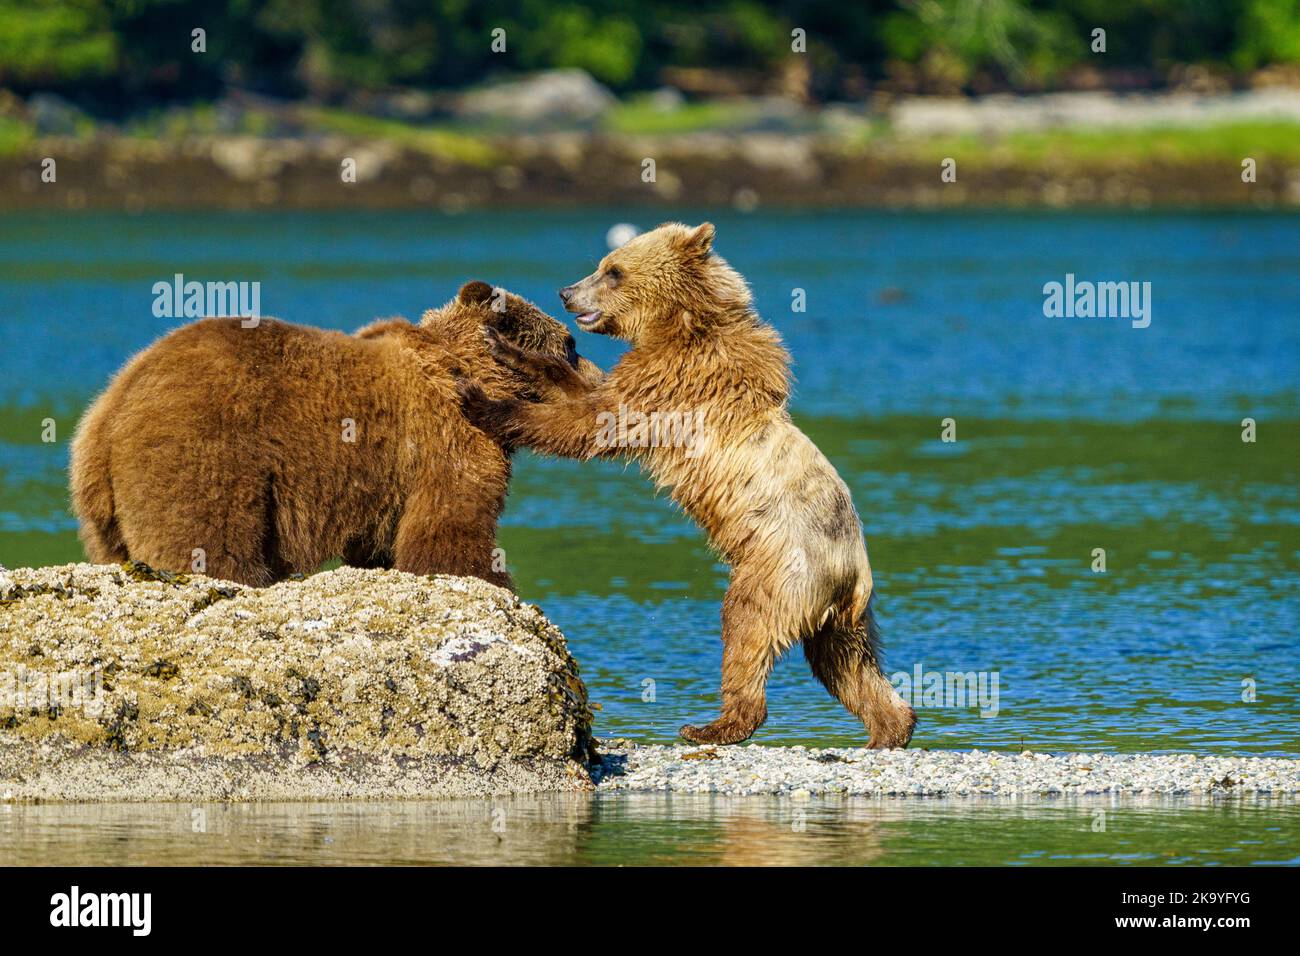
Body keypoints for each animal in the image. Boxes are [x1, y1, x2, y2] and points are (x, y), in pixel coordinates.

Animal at [69, 280, 598, 587]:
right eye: (570, 344)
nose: (596, 376)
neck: (469, 369)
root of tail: (106, 417)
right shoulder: (447, 438)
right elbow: (447, 531)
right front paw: (492, 579)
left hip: (104, 514)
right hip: (202, 454)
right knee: (208, 544)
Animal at [462, 222, 920, 749]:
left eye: (612, 270)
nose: (566, 291)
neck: (680, 323)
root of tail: (854, 569)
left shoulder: (673, 385)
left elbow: (590, 422)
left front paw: (481, 401)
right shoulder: (651, 375)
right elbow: (586, 391)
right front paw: (506, 346)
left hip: (777, 569)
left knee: (746, 629)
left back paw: (711, 725)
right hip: (840, 614)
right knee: (846, 663)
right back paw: (890, 728)